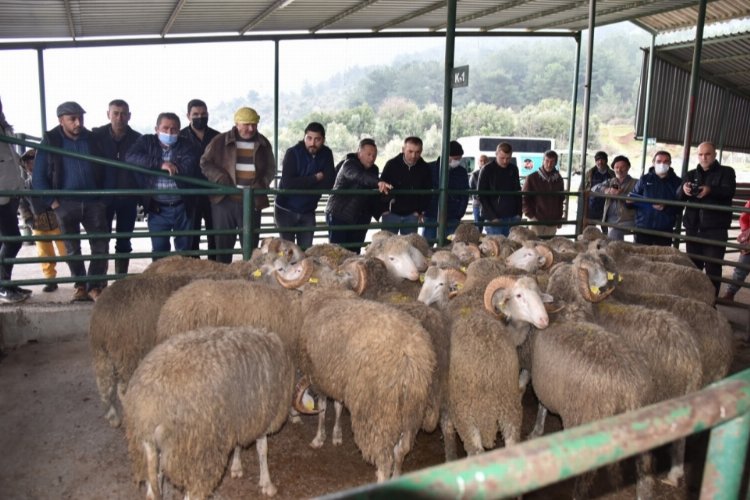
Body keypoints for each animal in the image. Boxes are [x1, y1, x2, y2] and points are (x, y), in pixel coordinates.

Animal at [122, 326, 302, 498]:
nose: (297, 417)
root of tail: (148, 409)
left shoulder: (240, 416)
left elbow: (239, 444)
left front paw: (236, 467)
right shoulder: (264, 415)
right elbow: (263, 450)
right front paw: (267, 483)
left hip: (150, 451)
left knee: (152, 489)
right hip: (196, 453)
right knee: (193, 494)